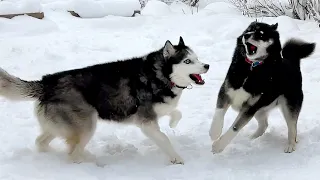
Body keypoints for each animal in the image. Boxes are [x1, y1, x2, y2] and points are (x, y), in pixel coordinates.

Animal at [0, 36, 210, 165]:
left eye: (197, 58)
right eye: (187, 61)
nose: (207, 65)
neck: (159, 75)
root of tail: (46, 82)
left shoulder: (159, 109)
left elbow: (176, 112)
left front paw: (173, 123)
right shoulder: (146, 122)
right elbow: (164, 139)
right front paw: (177, 159)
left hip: (59, 126)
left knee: (41, 142)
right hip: (87, 125)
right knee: (73, 154)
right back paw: (91, 163)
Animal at [209, 22, 316, 153]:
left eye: (261, 34)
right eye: (248, 30)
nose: (246, 35)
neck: (252, 68)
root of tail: (293, 63)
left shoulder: (250, 108)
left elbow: (235, 127)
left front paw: (218, 146)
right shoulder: (226, 92)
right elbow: (218, 113)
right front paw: (214, 132)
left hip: (289, 105)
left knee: (292, 128)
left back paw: (290, 145)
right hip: (260, 109)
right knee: (264, 124)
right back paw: (252, 138)